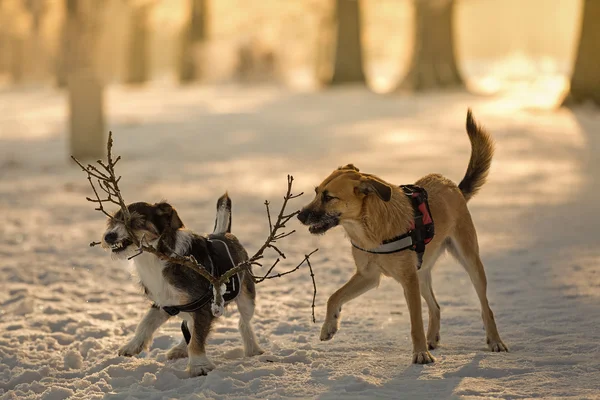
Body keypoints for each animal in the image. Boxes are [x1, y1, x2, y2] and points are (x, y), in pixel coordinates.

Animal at [102, 195, 264, 376]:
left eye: (134, 221)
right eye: (112, 221)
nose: (108, 236)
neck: (157, 258)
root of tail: (223, 233)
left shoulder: (202, 306)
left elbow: (197, 339)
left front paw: (199, 366)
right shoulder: (166, 301)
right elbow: (146, 322)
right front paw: (132, 345)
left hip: (246, 297)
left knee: (243, 322)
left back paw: (252, 349)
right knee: (190, 326)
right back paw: (180, 349)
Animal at [298, 111, 508, 364]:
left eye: (329, 197)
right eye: (316, 192)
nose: (299, 215)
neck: (369, 230)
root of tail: (453, 186)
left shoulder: (407, 280)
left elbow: (415, 323)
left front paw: (420, 354)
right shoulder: (369, 276)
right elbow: (334, 296)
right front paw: (329, 326)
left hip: (469, 261)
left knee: (486, 306)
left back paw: (495, 341)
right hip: (422, 272)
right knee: (436, 307)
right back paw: (432, 339)